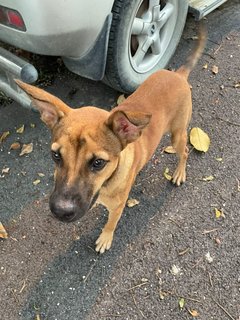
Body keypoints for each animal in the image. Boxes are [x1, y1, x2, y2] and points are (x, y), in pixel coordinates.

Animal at [15, 26, 206, 252]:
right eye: (55, 155)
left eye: (98, 163)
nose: (61, 212)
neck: (107, 182)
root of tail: (178, 74)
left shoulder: (117, 208)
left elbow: (110, 224)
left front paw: (105, 238)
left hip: (177, 135)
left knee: (184, 152)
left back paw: (178, 173)